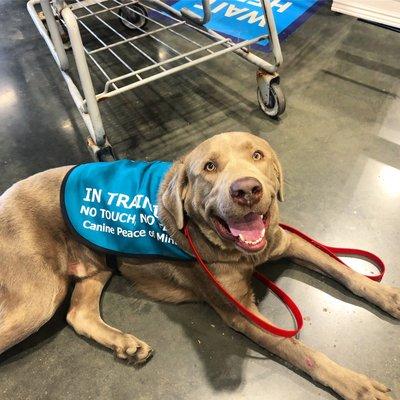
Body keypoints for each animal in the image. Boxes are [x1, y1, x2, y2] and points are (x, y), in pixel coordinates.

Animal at [0, 133, 398, 398]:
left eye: (258, 155)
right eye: (209, 167)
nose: (247, 190)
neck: (241, 253)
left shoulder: (287, 240)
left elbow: (343, 270)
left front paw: (386, 294)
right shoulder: (241, 313)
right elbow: (305, 354)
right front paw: (356, 384)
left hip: (96, 265)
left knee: (78, 314)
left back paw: (124, 344)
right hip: (38, 298)